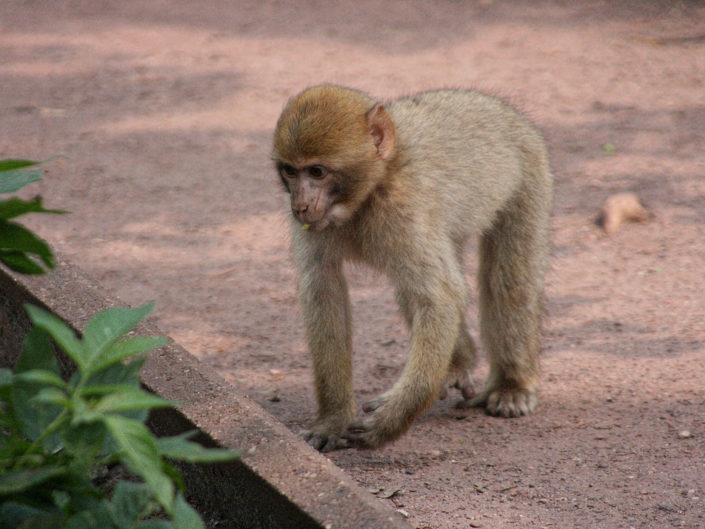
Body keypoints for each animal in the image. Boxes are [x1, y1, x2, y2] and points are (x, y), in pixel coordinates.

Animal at [272, 85, 553, 450]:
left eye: (317, 172)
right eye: (291, 171)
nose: (301, 205)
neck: (369, 192)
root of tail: (500, 108)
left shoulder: (402, 209)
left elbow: (441, 296)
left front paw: (392, 420)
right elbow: (324, 291)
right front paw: (332, 419)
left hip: (530, 172)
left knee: (509, 282)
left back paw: (511, 383)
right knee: (414, 284)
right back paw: (458, 363)